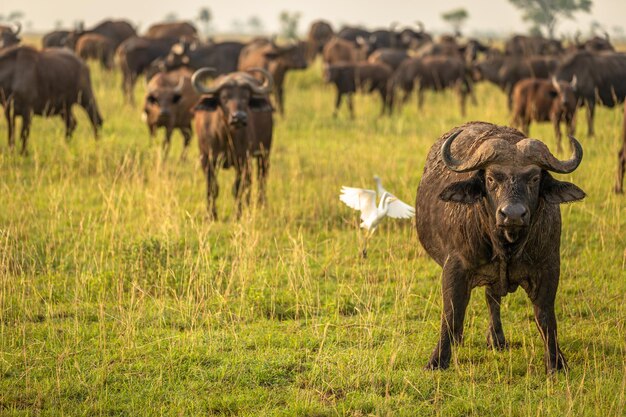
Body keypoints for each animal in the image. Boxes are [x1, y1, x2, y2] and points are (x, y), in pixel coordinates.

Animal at [193, 66, 272, 219]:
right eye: (224, 97)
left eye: (246, 97)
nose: (239, 117)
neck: (224, 135)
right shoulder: (206, 159)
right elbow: (212, 187)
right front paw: (211, 215)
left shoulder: (242, 160)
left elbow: (238, 188)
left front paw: (237, 215)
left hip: (264, 153)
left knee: (261, 178)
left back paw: (261, 206)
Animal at [414, 120, 584, 370]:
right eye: (492, 178)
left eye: (534, 178)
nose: (512, 214)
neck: (507, 246)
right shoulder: (454, 267)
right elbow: (452, 314)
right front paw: (437, 361)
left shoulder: (549, 266)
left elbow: (545, 316)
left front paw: (556, 361)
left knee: (492, 297)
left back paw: (496, 339)